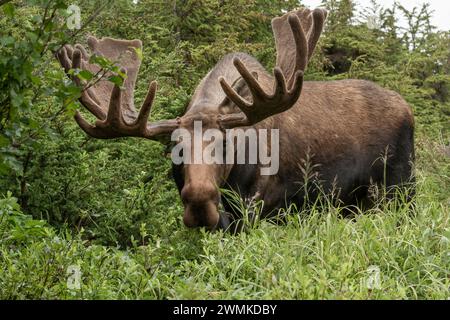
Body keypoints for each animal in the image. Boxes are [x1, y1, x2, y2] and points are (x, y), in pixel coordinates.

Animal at [56, 8, 414, 230]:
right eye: (175, 150)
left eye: (226, 145)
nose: (200, 203)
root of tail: (407, 108)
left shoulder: (257, 206)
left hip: (400, 187)